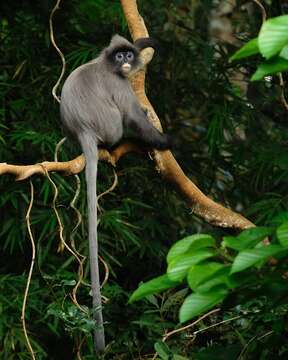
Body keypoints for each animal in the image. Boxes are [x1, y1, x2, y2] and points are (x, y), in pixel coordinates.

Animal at [59, 35, 170, 352]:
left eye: (126, 54)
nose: (125, 61)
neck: (107, 65)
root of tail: (83, 132)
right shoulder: (118, 84)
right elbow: (132, 115)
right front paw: (163, 141)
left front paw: (144, 42)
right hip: (110, 126)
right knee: (125, 119)